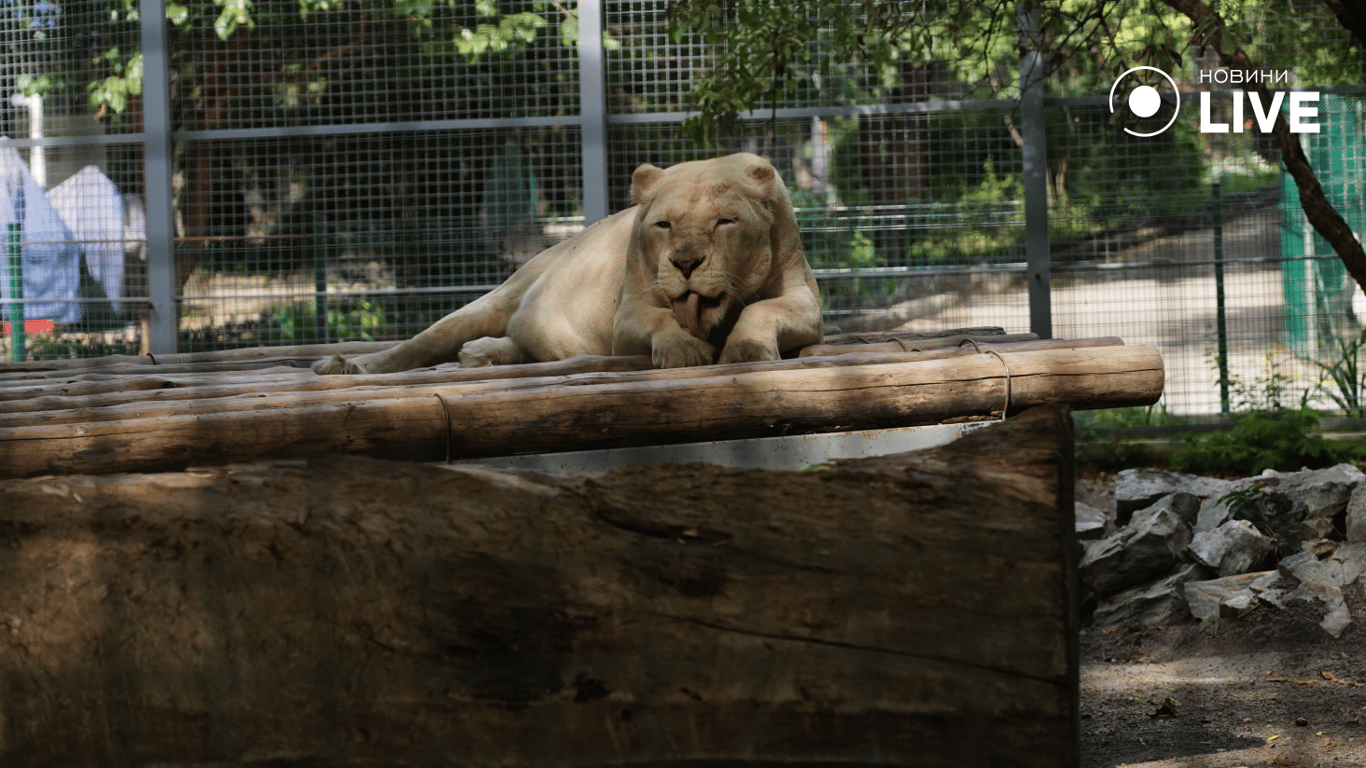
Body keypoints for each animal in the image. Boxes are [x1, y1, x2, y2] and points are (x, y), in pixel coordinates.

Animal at [312, 153, 824, 375]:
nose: (685, 263)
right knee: (418, 344)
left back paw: (482, 353)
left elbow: (763, 308)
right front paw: (683, 350)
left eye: (724, 222)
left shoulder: (803, 300)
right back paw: (345, 366)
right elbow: (659, 319)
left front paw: (747, 348)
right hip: (500, 296)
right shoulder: (627, 312)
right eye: (664, 225)